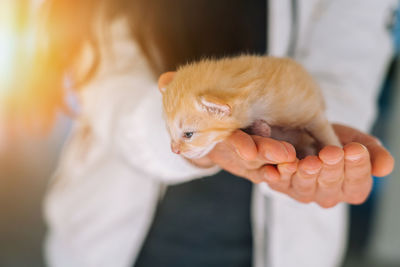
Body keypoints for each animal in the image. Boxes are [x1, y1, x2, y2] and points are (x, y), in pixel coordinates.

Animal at [159, 54, 340, 159]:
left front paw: (336, 148)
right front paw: (261, 129)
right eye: (169, 131)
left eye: (188, 134)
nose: (174, 151)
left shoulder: (309, 108)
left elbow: (322, 131)